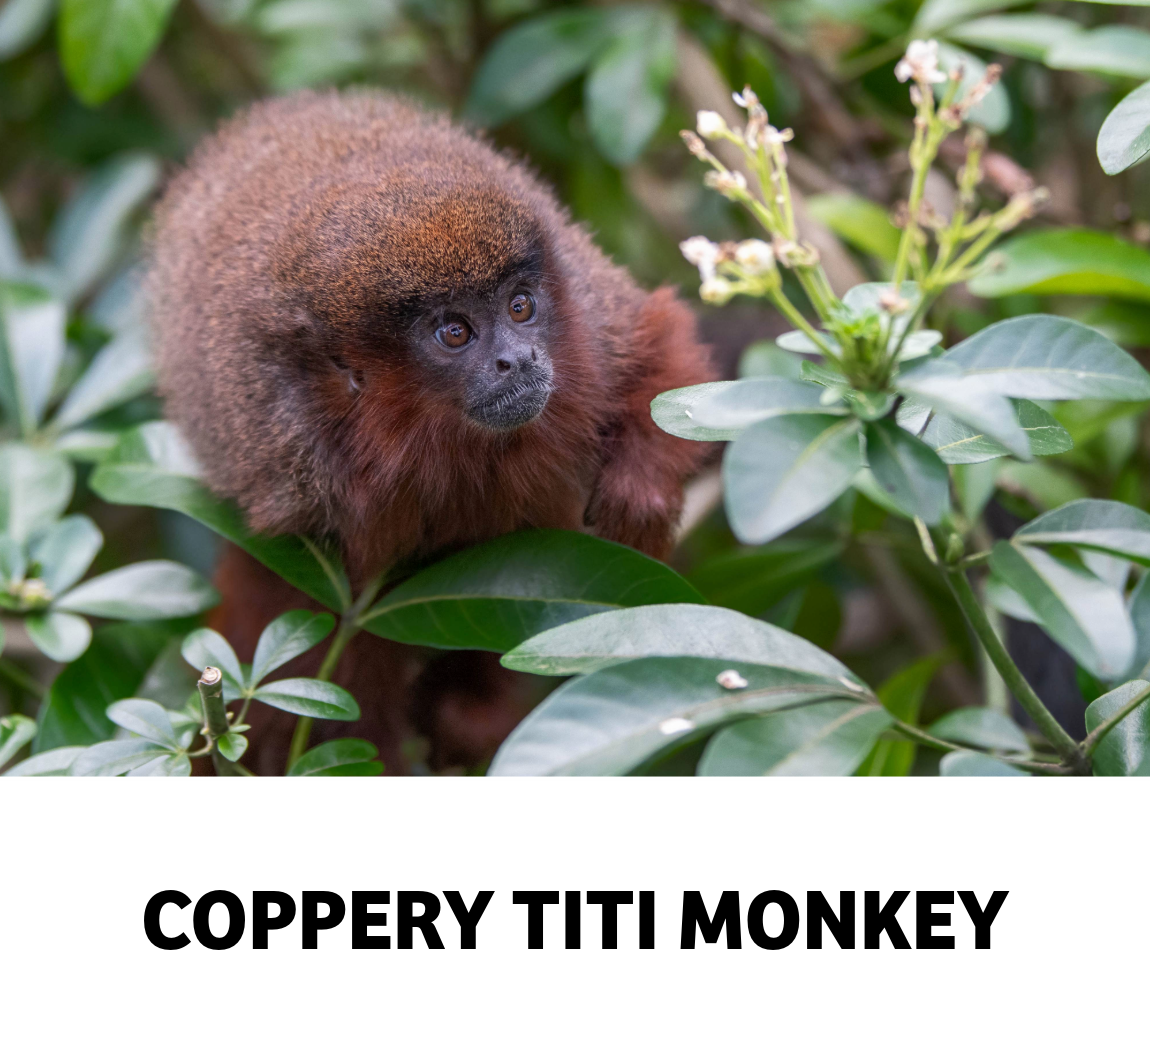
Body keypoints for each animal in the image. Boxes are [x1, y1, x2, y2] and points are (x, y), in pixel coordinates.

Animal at [148, 89, 716, 774]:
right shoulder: (295, 463)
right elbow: (331, 627)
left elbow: (662, 351)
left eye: (520, 306)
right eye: (455, 333)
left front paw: (641, 496)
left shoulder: (592, 318)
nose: (516, 360)